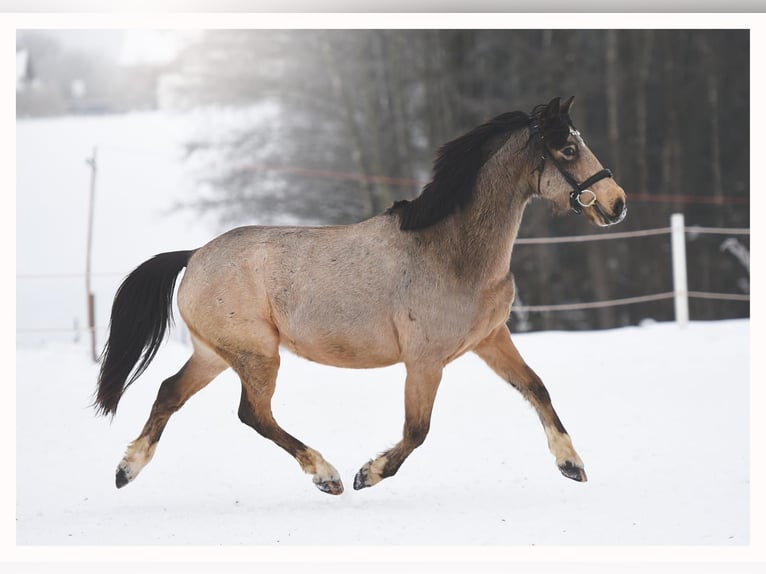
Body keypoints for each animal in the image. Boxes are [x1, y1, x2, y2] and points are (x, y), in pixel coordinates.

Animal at [95, 96, 627, 495]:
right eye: (567, 148)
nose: (617, 203)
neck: (452, 251)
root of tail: (194, 254)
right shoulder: (425, 360)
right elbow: (417, 430)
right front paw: (367, 474)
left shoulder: (490, 338)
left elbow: (536, 387)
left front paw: (571, 464)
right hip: (257, 355)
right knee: (253, 413)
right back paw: (326, 475)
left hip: (216, 353)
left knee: (169, 393)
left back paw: (126, 470)